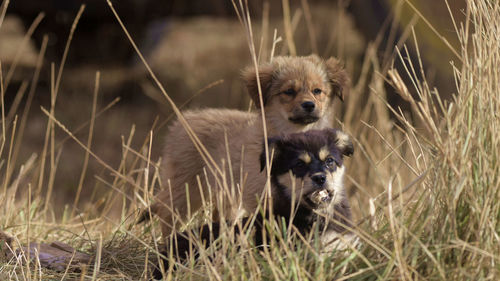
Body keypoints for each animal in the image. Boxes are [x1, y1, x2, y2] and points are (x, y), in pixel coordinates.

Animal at [150, 53, 350, 235]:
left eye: (317, 91)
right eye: (289, 91)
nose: (309, 105)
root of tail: (183, 120)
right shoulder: (261, 196)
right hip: (185, 191)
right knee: (167, 218)